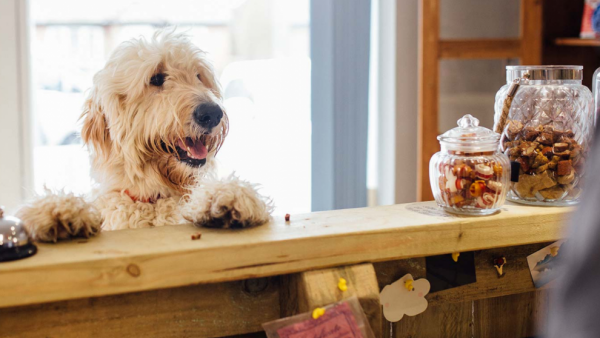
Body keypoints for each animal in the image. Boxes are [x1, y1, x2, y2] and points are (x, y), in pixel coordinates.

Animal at [16, 30, 274, 242]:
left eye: (199, 76)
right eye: (156, 78)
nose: (211, 113)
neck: (153, 199)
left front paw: (227, 195)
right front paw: (58, 210)